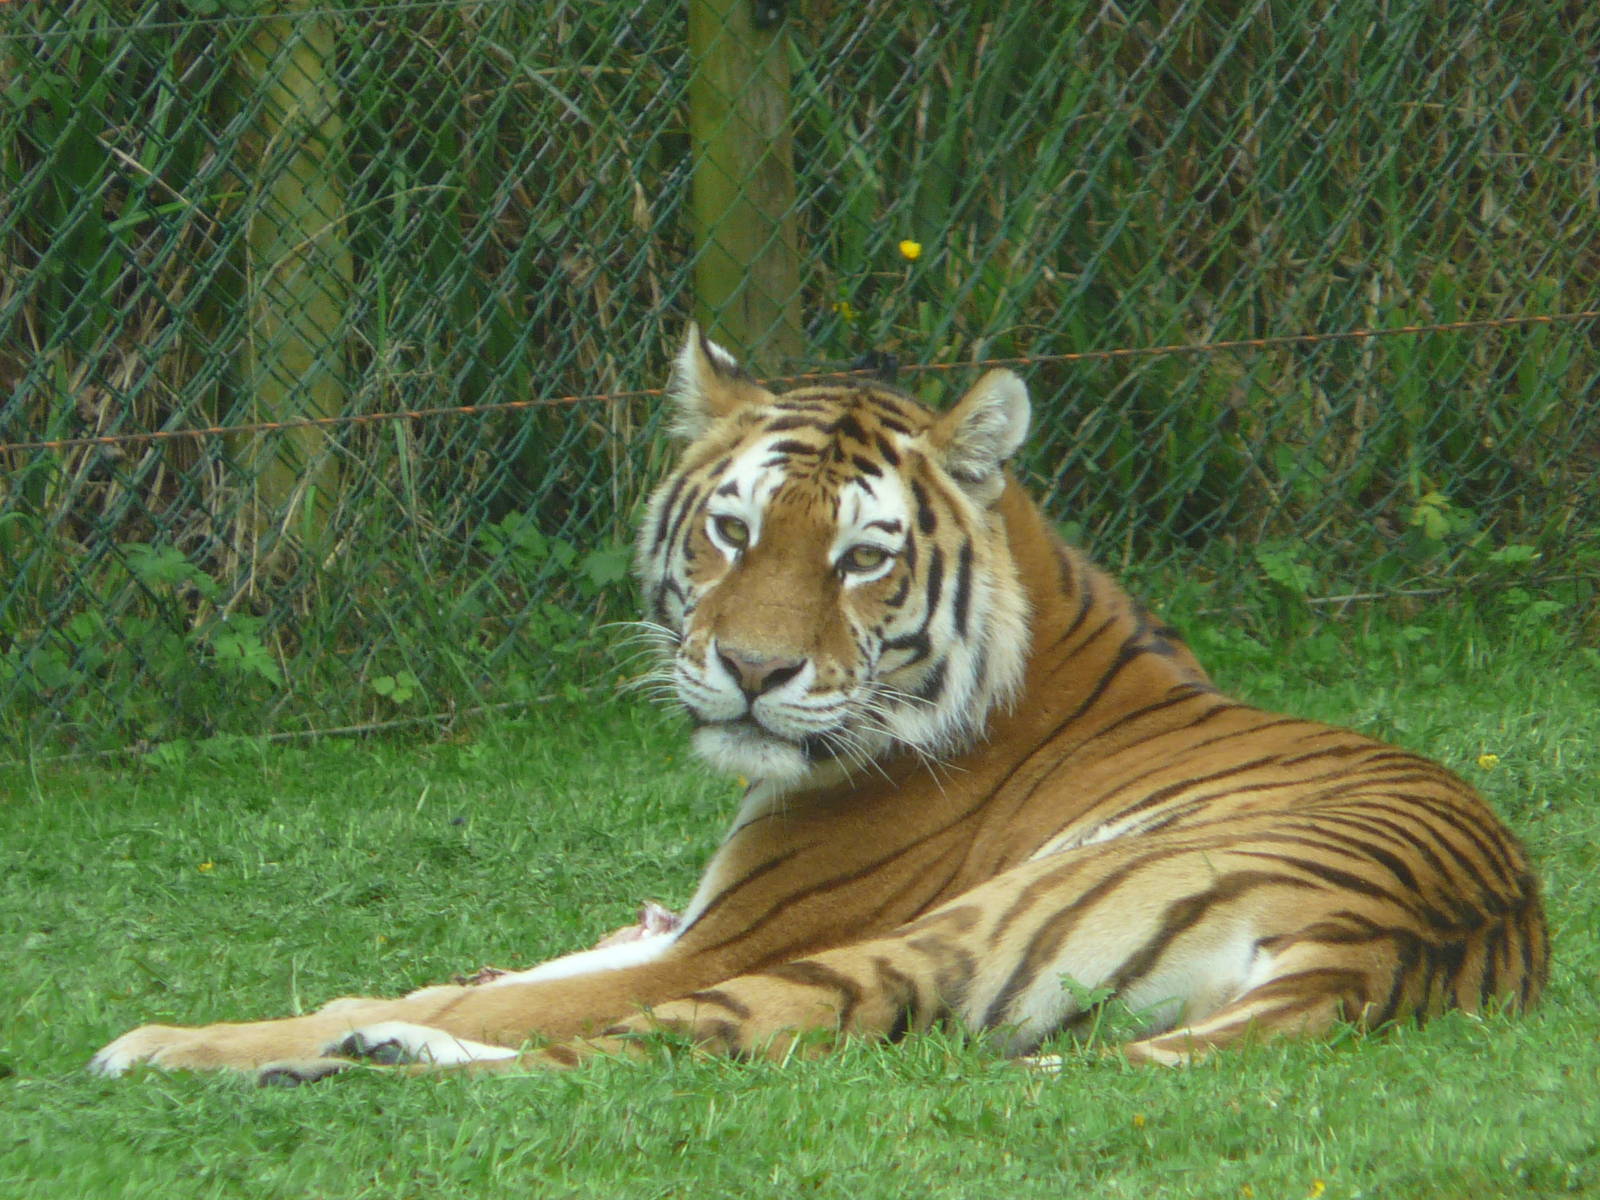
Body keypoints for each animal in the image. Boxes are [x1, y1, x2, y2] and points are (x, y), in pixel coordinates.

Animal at [91, 326, 1547, 1083]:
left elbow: (518, 1003)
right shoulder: (672, 923)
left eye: (859, 558)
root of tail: (1389, 946)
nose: (752, 670)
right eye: (733, 532)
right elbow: (478, 974)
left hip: (939, 937)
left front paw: (171, 1039)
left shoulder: (717, 941)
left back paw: (335, 1062)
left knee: (635, 1056)